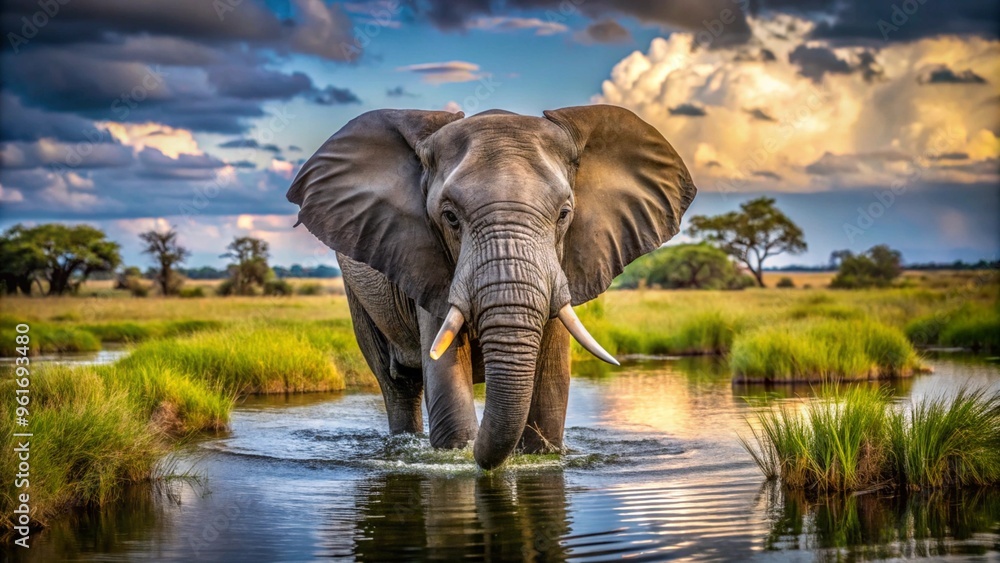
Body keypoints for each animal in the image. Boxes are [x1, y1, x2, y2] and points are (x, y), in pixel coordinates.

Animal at [287, 105, 696, 469]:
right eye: (450, 217)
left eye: (564, 214)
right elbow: (447, 384)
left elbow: (550, 394)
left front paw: (534, 456)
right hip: (357, 291)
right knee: (397, 386)